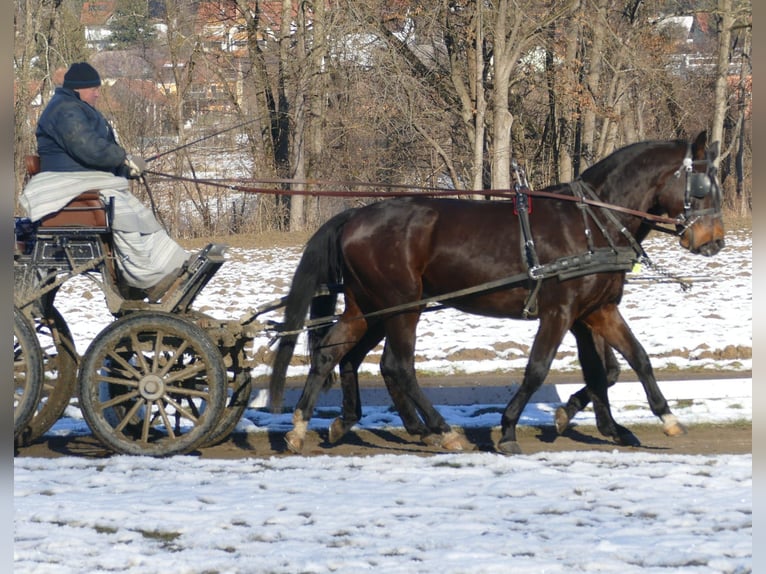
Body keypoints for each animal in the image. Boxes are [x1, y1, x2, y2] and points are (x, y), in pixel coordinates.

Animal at [269, 131, 724, 455]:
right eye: (703, 187)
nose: (714, 241)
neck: (590, 223)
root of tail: (355, 214)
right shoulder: (560, 312)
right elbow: (539, 368)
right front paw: (507, 430)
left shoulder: (597, 311)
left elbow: (628, 362)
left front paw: (657, 419)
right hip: (401, 307)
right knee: (397, 366)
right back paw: (442, 431)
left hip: (368, 306)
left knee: (331, 353)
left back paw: (303, 427)